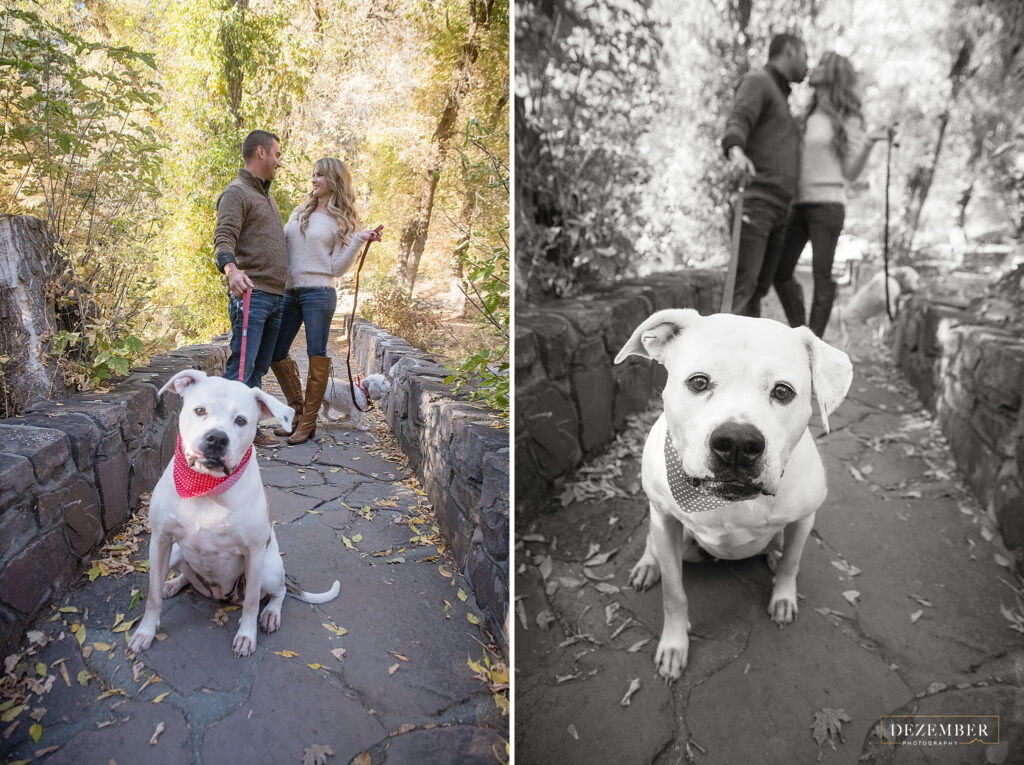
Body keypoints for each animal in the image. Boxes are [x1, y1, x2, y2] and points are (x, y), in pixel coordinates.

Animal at [129, 370, 339, 659]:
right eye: (200, 410)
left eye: (241, 420)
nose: (216, 438)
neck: (204, 486)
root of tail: (219, 594)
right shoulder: (160, 541)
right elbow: (152, 595)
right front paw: (145, 632)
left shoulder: (254, 553)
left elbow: (251, 602)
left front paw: (246, 637)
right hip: (176, 553)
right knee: (184, 576)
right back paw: (173, 583)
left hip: (269, 570)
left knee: (279, 592)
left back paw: (271, 614)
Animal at [614, 311, 856, 684]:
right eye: (699, 382)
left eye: (783, 391)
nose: (739, 443)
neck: (727, 502)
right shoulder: (665, 520)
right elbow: (674, 593)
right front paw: (674, 645)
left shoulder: (804, 519)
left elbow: (792, 562)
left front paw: (783, 595)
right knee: (651, 545)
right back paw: (646, 566)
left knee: (781, 549)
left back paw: (774, 556)